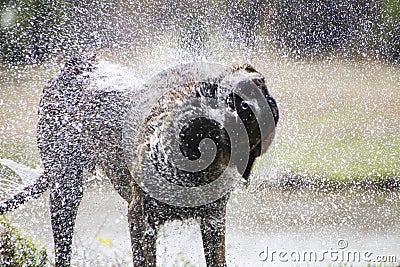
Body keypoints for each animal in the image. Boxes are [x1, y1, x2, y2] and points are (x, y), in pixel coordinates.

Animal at [0, 55, 278, 266]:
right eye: (222, 97)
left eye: (247, 106)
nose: (216, 121)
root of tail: (75, 63)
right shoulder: (140, 219)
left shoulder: (213, 221)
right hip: (65, 191)